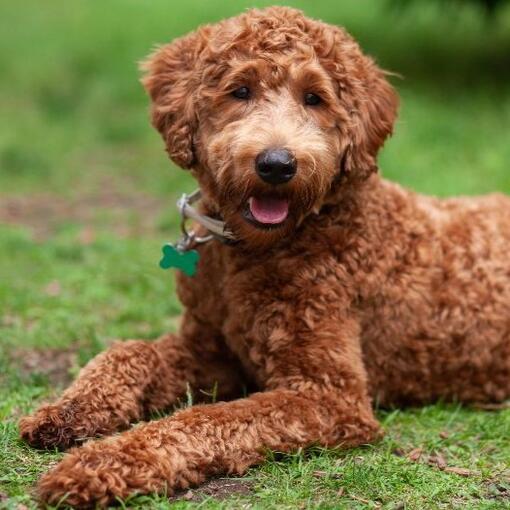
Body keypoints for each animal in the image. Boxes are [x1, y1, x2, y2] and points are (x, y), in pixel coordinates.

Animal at [17, 6, 508, 506]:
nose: (276, 165)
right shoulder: (210, 350)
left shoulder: (326, 395)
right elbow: (129, 351)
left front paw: (101, 463)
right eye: (240, 91)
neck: (261, 248)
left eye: (314, 98)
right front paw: (68, 409)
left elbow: (209, 417)